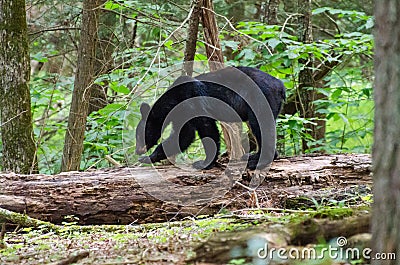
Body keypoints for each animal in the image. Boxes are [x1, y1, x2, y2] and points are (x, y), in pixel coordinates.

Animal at [136, 66, 286, 169]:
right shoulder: (181, 114)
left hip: (260, 98)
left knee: (262, 125)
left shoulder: (191, 100)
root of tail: (280, 85)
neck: (172, 102)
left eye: (139, 135)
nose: (138, 150)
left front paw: (204, 163)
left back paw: (259, 161)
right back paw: (252, 156)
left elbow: (205, 128)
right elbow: (183, 136)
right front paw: (149, 158)